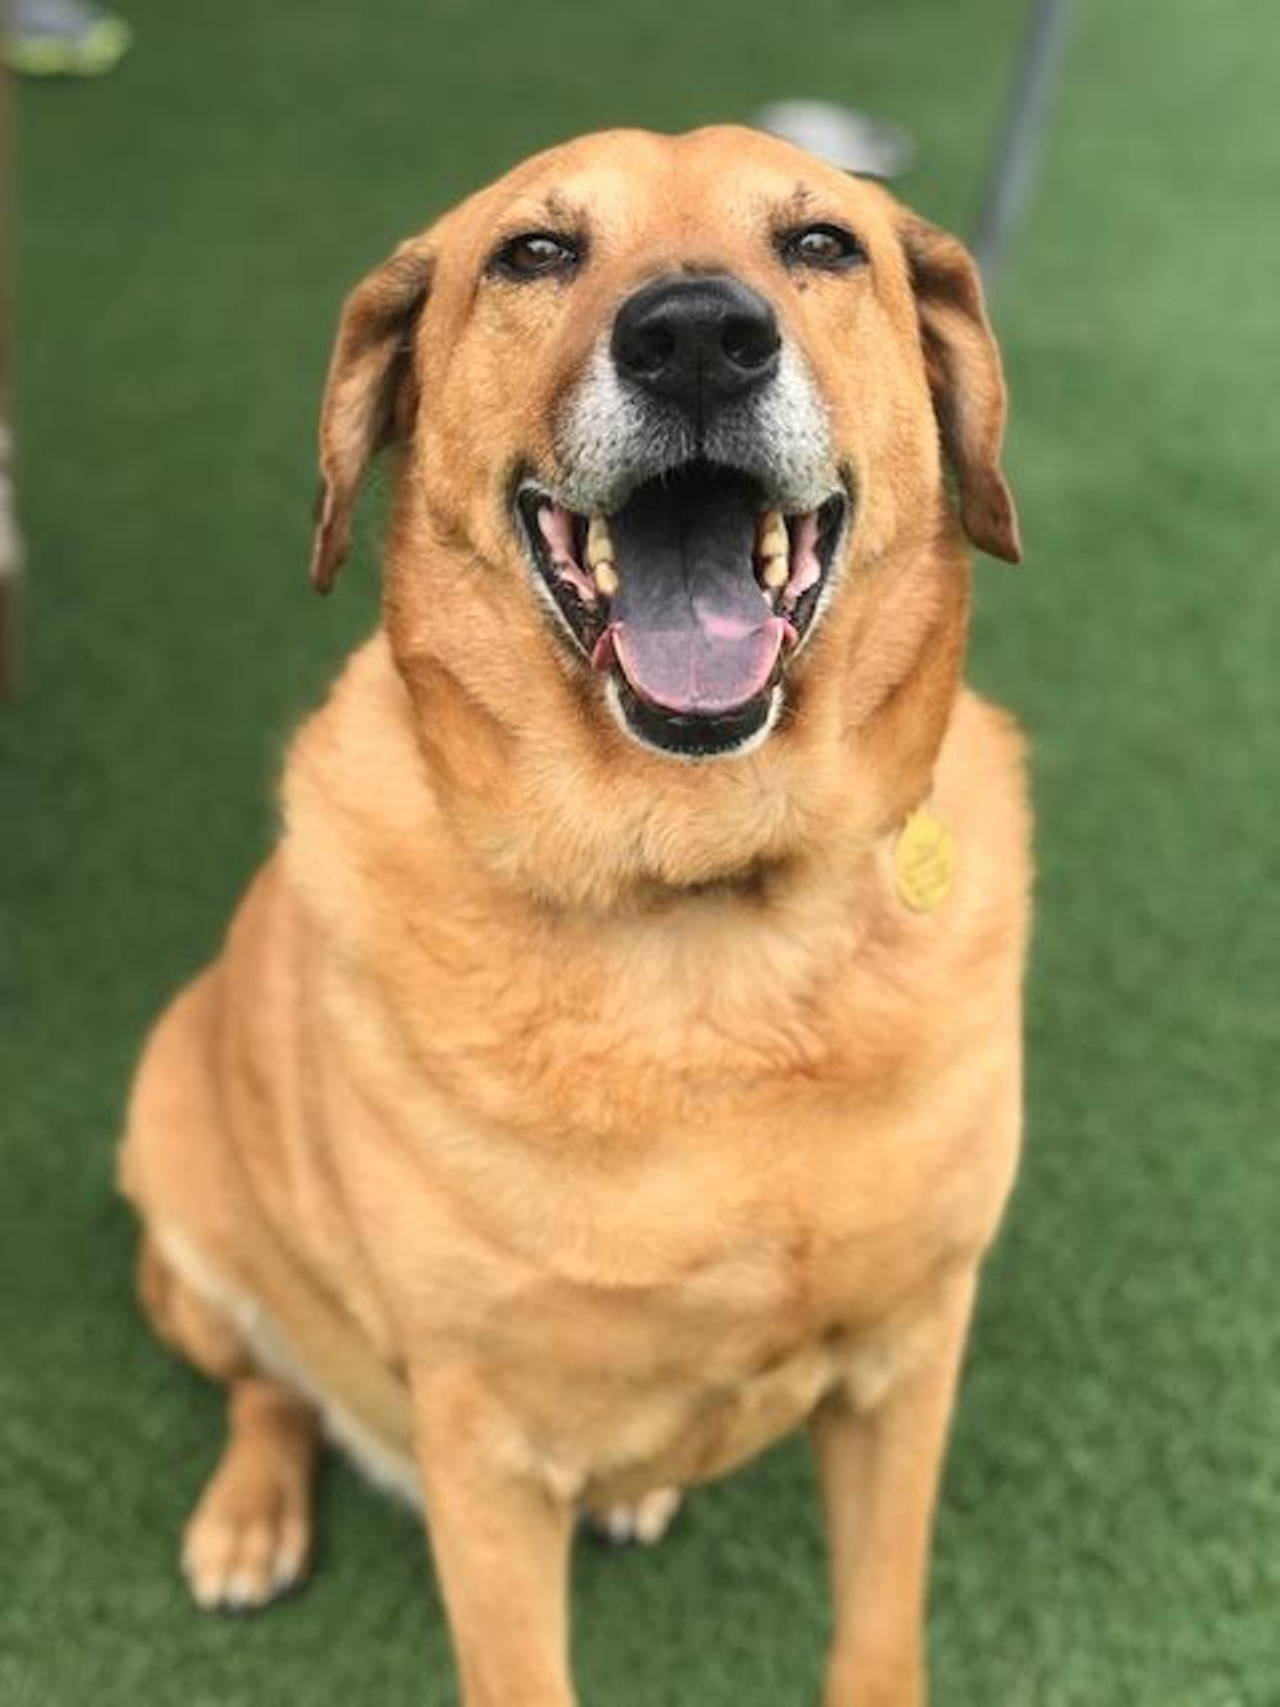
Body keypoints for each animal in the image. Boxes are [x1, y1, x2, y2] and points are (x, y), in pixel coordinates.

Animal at [120, 123, 1030, 1707]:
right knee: (268, 1389)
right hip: (181, 1214)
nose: (697, 339)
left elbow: (877, 1635)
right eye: (534, 254)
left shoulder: (910, 1357)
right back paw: (248, 1513)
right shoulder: (488, 1456)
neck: (709, 919)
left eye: (821, 242)